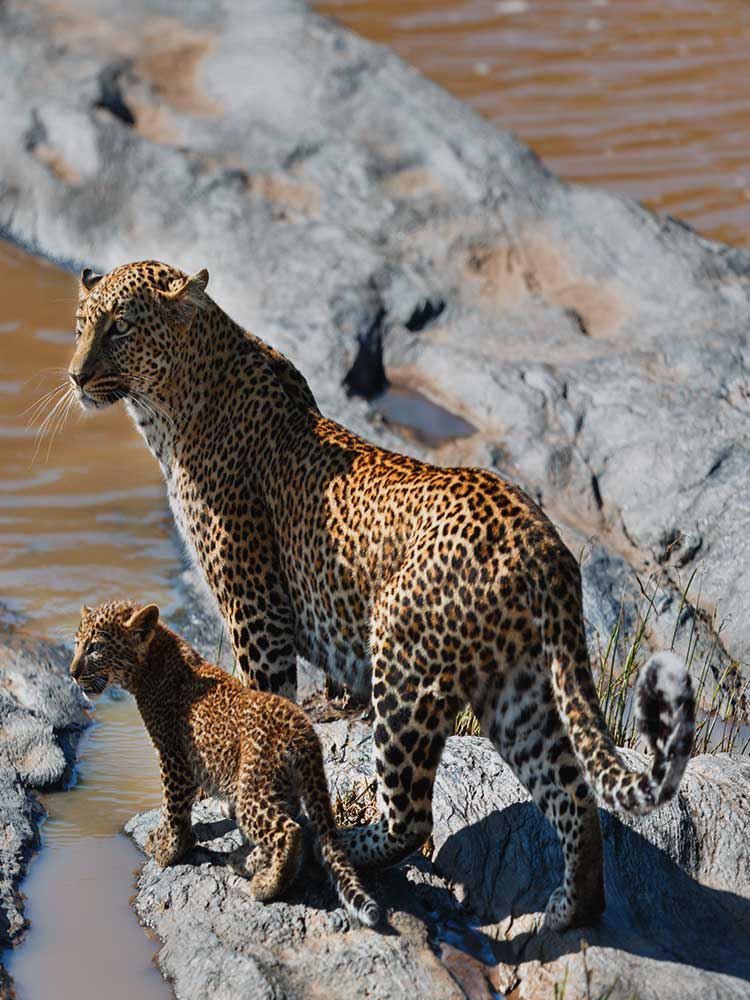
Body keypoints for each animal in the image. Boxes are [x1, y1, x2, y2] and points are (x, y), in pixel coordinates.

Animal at [70, 599, 380, 927]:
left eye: (95, 647)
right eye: (77, 645)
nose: (72, 672)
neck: (149, 664)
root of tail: (302, 729)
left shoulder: (173, 756)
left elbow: (174, 807)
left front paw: (170, 849)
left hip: (254, 787)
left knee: (289, 830)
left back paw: (268, 885)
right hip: (282, 785)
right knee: (294, 822)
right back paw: (245, 861)